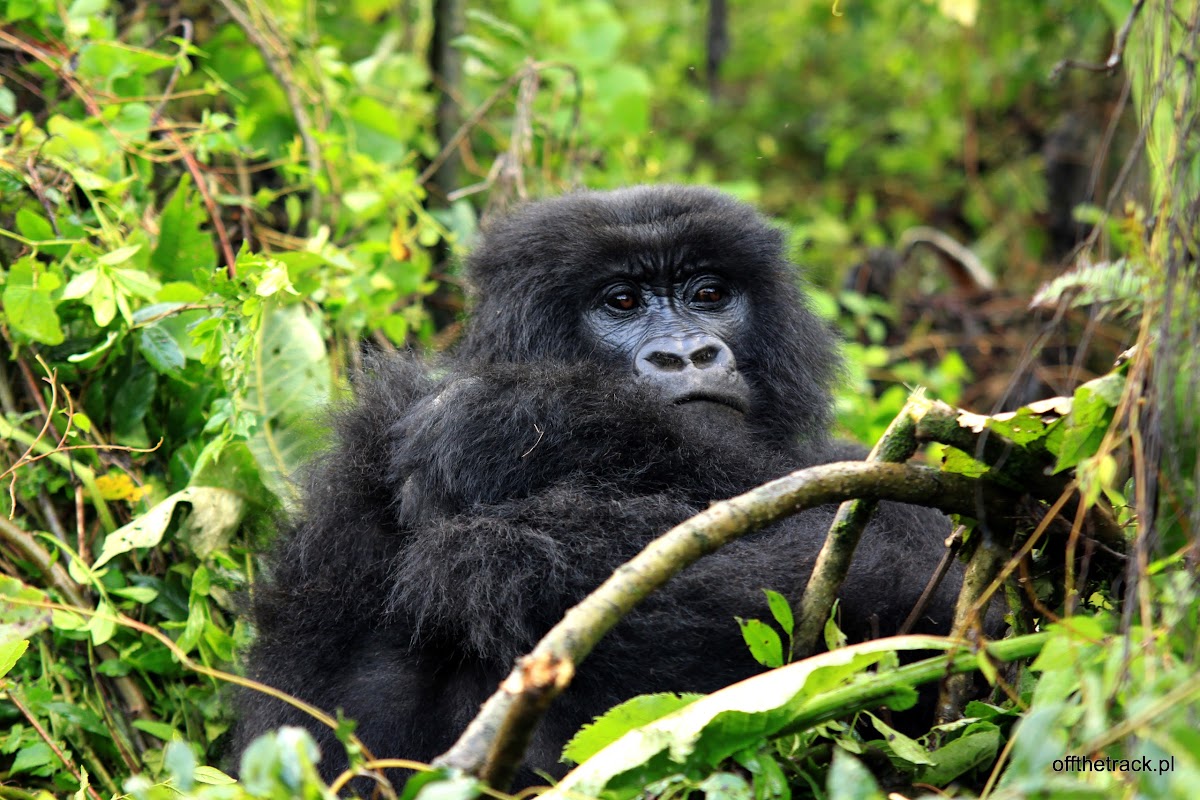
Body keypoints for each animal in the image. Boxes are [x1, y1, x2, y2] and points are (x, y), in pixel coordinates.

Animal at [231, 185, 964, 786]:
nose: (687, 355)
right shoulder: (359, 480)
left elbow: (927, 590)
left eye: (708, 294)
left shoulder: (872, 468)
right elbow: (323, 727)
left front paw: (521, 434)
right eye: (622, 302)